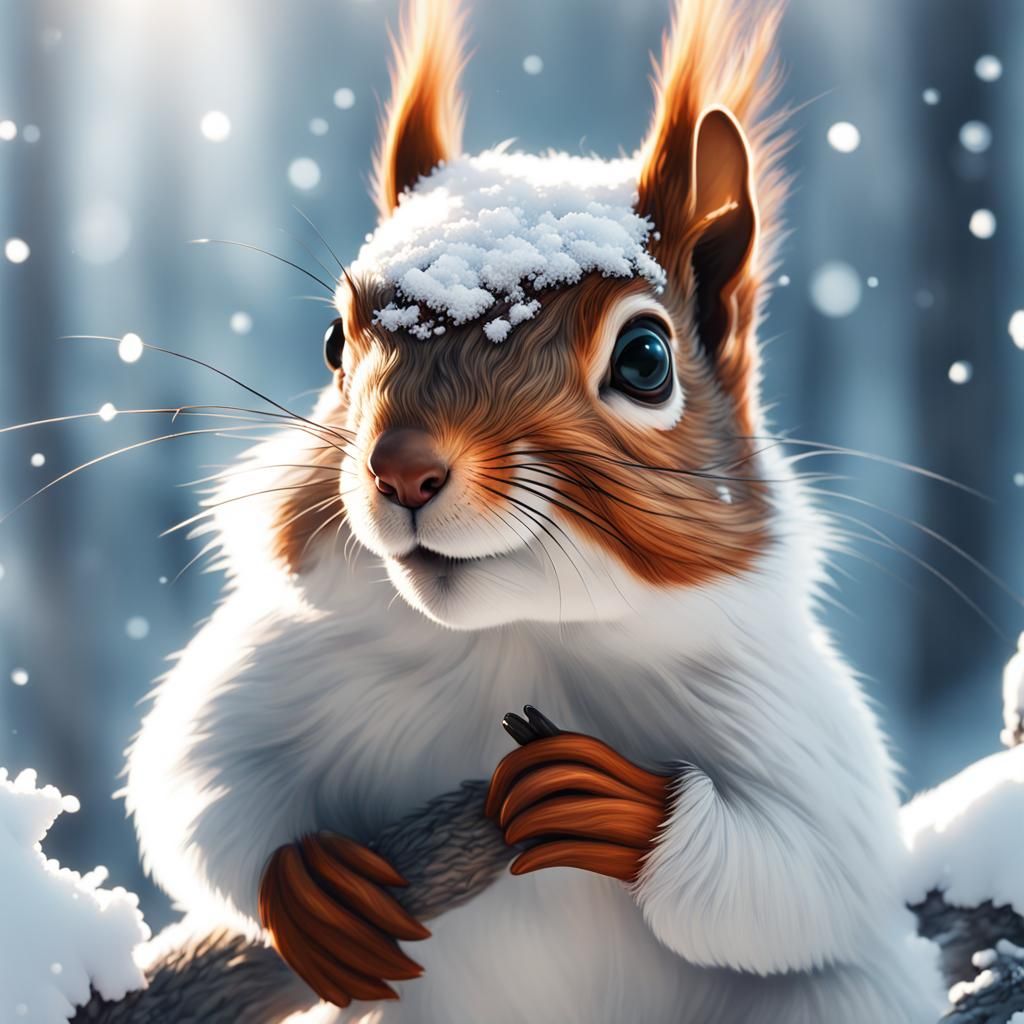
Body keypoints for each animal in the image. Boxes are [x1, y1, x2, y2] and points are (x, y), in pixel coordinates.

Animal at [125, 0, 947, 1020]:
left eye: (645, 359)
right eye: (331, 344)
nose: (400, 469)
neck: (517, 631)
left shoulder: (778, 705)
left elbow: (812, 870)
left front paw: (612, 804)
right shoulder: (266, 664)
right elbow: (197, 786)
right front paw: (310, 886)